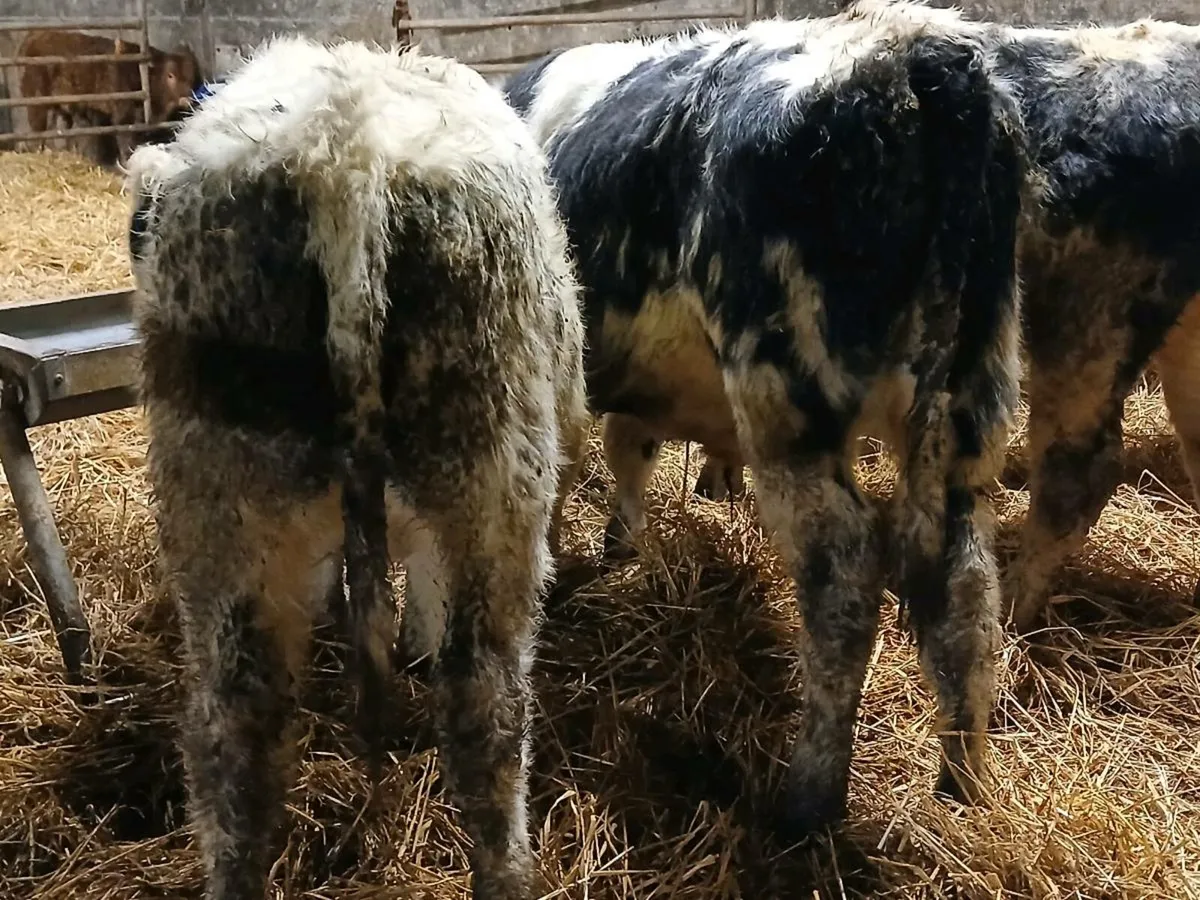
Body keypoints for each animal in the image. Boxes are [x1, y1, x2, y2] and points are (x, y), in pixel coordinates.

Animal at [18, 30, 202, 165]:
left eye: (192, 76)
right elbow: (125, 145)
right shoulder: (123, 117)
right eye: (170, 75)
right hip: (36, 103)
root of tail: (36, 35)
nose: (187, 99)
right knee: (38, 131)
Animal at [504, 11, 1031, 836]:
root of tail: (915, 47)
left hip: (787, 401)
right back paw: (964, 779)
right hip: (972, 401)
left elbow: (568, 468)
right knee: (966, 585)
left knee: (844, 574)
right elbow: (628, 450)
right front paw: (623, 543)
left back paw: (809, 799)